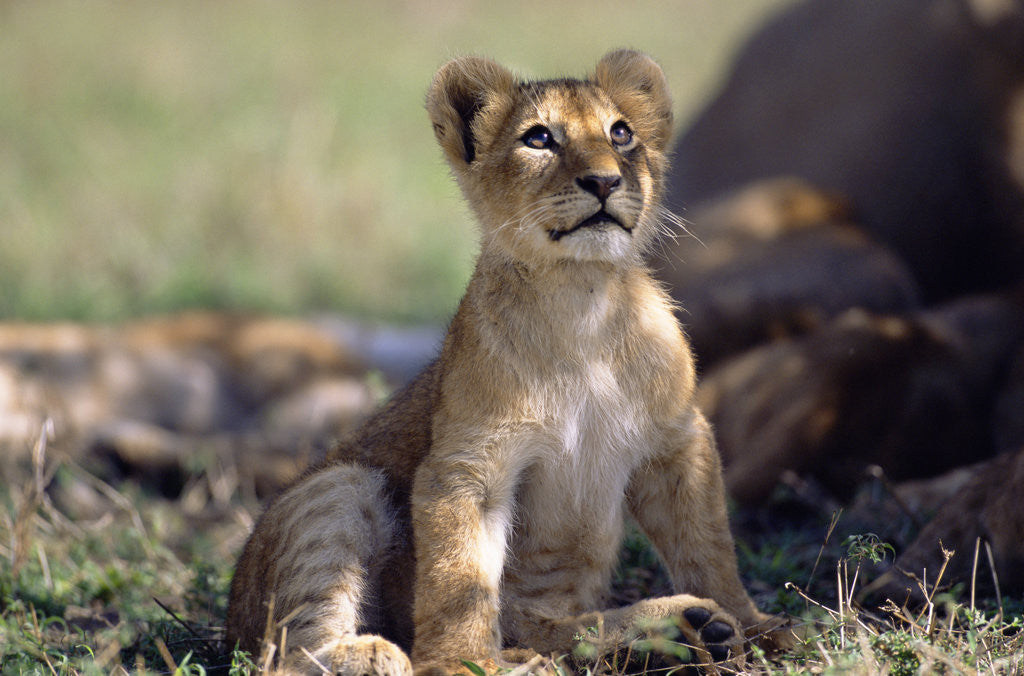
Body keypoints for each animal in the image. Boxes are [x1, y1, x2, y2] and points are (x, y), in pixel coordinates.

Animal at [225, 50, 782, 675]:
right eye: (539, 138)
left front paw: (754, 626)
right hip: (340, 486)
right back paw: (378, 652)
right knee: (285, 655)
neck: (581, 304)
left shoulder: (677, 439)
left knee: (555, 629)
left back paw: (688, 629)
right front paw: (462, 664)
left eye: (621, 134)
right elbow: (459, 579)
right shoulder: (467, 466)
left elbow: (708, 546)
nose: (605, 180)